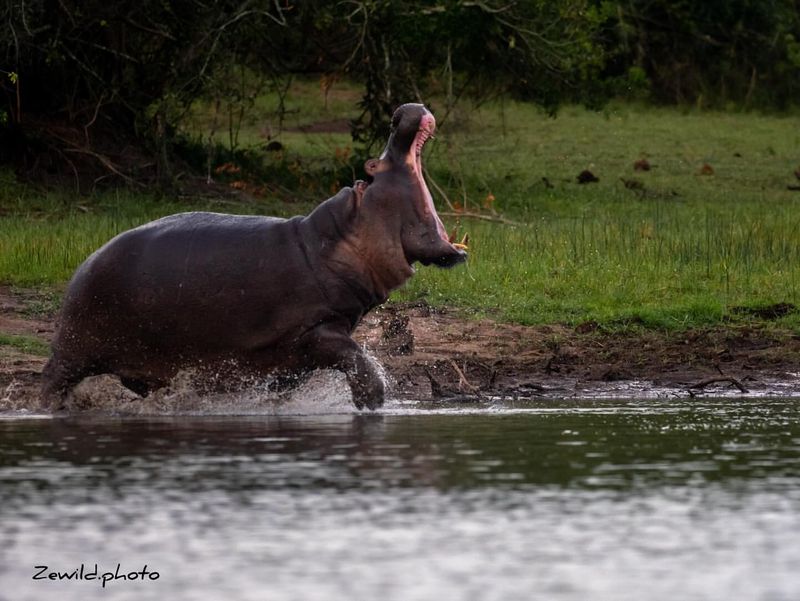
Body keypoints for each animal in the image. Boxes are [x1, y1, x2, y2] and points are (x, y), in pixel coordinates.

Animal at [42, 105, 468, 410]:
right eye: (374, 165)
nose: (398, 115)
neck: (339, 240)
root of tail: (84, 263)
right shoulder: (313, 331)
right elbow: (356, 359)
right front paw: (371, 402)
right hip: (75, 348)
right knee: (52, 379)